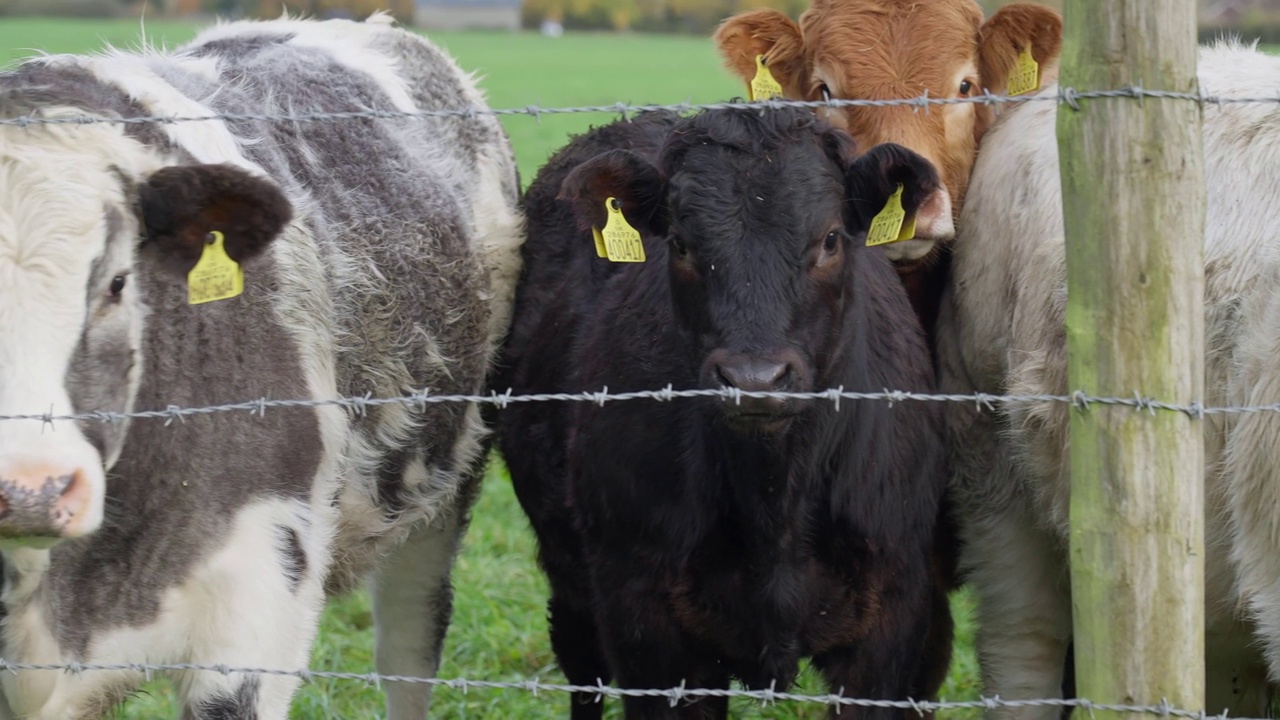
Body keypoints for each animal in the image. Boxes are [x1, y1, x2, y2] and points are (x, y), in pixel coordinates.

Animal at [494, 107, 957, 717]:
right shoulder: (645, 628)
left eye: (831, 238)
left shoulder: (890, 623)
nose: (754, 380)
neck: (774, 504)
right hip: (567, 575)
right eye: (681, 243)